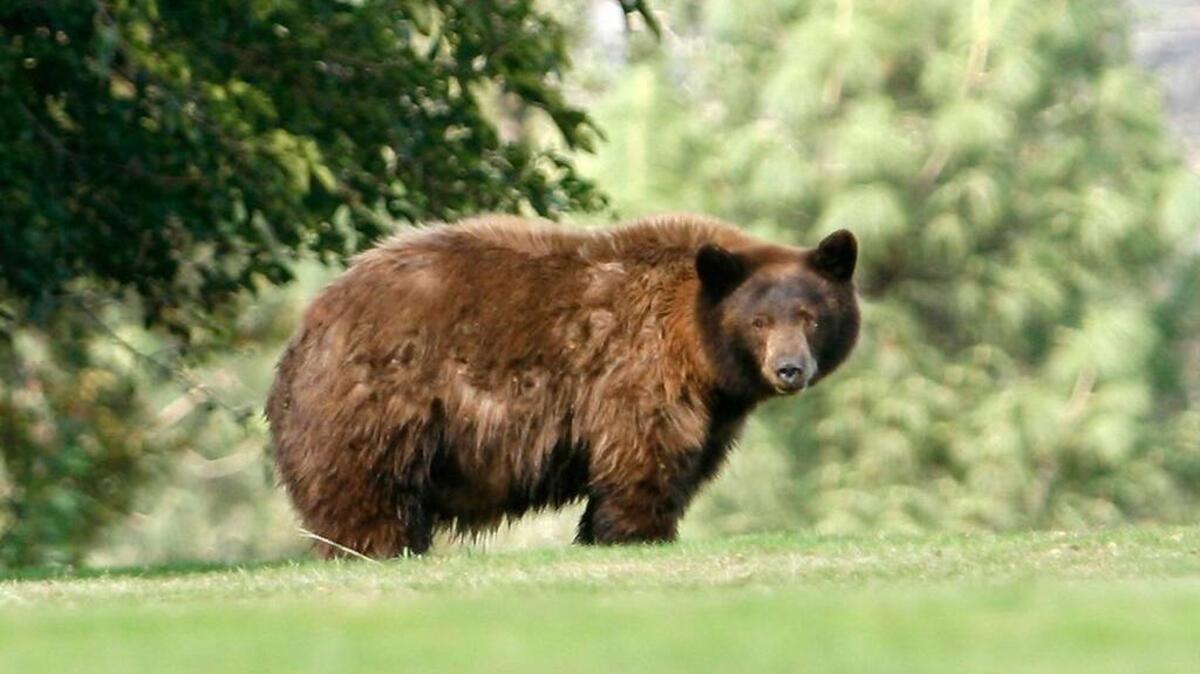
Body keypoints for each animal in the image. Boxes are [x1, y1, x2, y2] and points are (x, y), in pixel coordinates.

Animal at [265, 214, 859, 558]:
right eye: (759, 321)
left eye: (809, 317)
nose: (789, 369)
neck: (697, 348)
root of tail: (312, 318)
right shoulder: (640, 368)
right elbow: (645, 450)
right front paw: (641, 532)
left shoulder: (715, 409)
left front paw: (600, 532)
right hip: (382, 390)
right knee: (366, 477)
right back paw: (373, 544)